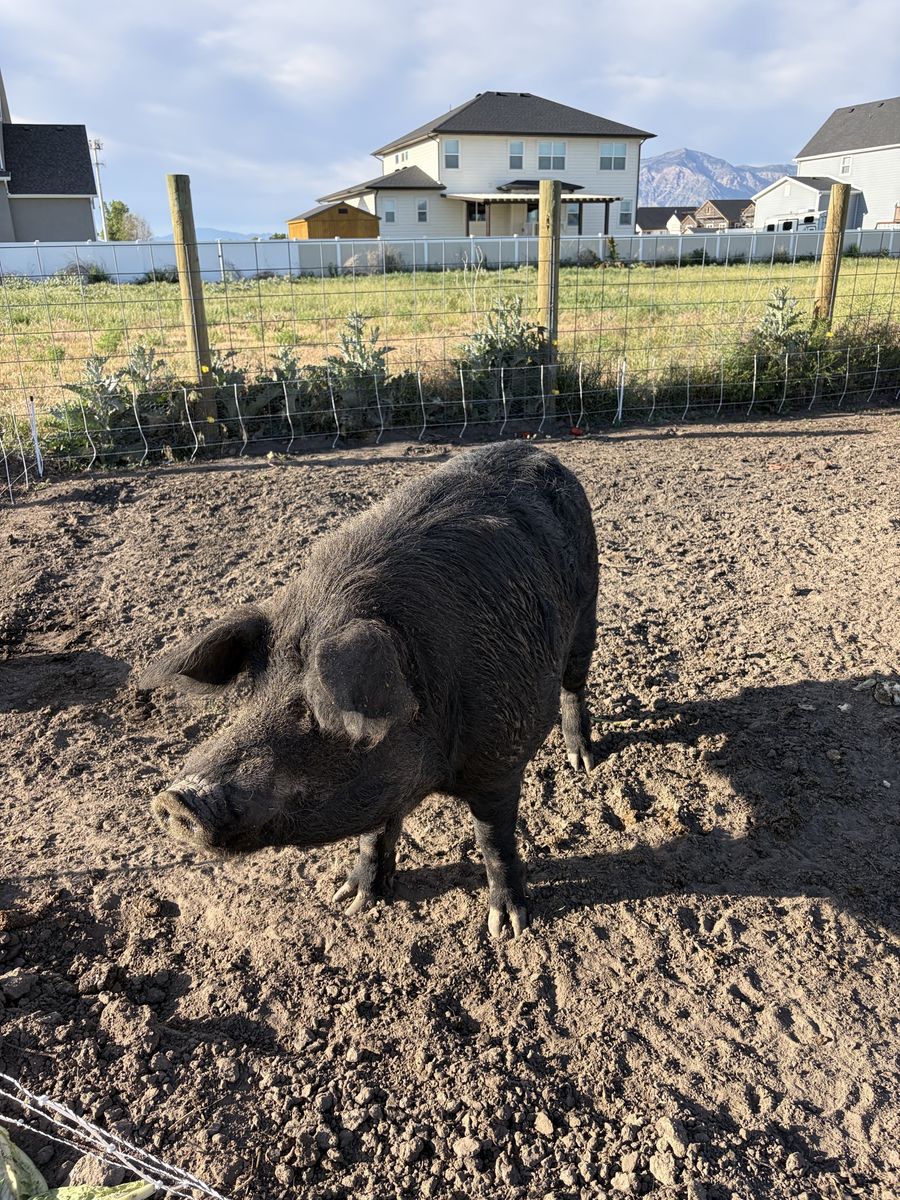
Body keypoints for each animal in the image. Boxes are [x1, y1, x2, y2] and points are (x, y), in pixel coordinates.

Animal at [139, 441, 598, 937]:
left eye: (313, 710)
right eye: (253, 691)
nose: (177, 797)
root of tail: (541, 452)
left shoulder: (499, 762)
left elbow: (493, 840)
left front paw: (507, 927)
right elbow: (374, 833)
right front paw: (351, 901)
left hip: (587, 609)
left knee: (574, 686)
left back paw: (583, 762)